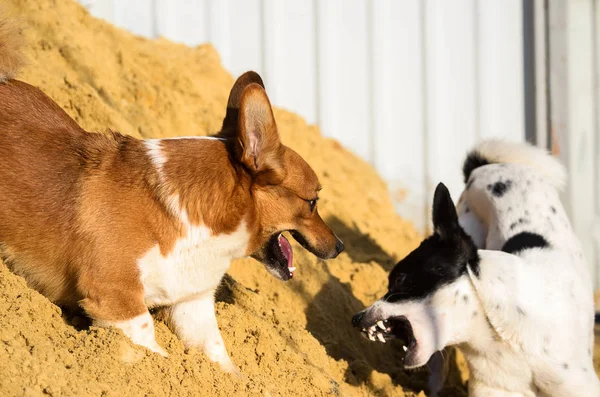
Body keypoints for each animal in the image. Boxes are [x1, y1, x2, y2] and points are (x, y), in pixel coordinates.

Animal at [0, 17, 342, 372]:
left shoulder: (191, 308)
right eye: (313, 202)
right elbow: (157, 354)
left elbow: (221, 363)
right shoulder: (117, 300)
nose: (340, 247)